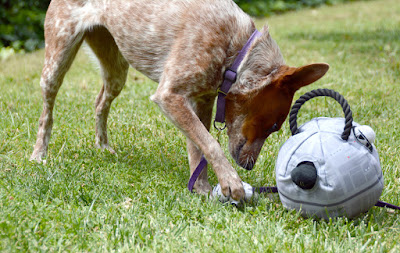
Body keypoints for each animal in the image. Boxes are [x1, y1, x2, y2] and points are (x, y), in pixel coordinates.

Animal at [30, 0, 328, 202]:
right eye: (274, 126)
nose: (249, 165)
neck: (235, 53)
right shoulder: (170, 96)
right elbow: (210, 144)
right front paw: (231, 182)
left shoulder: (200, 101)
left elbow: (199, 149)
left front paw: (202, 189)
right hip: (57, 58)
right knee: (47, 112)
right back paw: (38, 155)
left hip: (116, 67)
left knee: (100, 102)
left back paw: (103, 146)